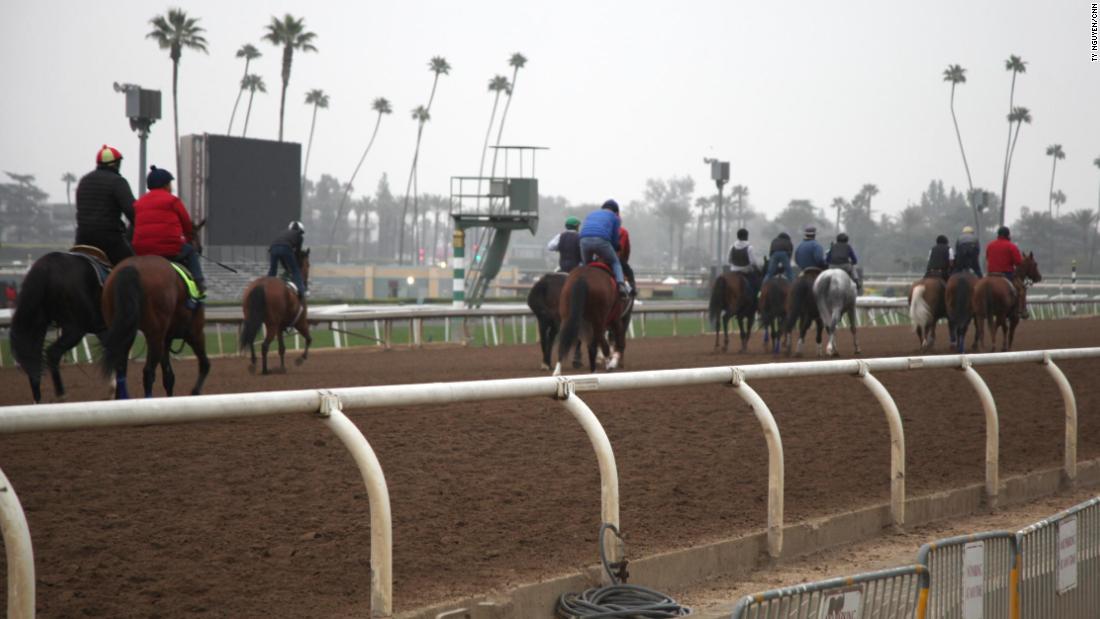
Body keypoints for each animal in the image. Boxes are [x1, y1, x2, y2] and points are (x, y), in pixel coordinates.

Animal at [8, 249, 108, 404]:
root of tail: (46, 267)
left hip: (38, 323)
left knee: (33, 358)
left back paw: (38, 400)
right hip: (75, 329)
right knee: (52, 353)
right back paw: (61, 395)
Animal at [100, 255, 211, 398]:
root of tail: (131, 267)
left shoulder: (167, 339)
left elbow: (169, 376)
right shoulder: (195, 333)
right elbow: (205, 364)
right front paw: (195, 392)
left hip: (126, 332)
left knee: (121, 369)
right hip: (156, 334)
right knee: (148, 372)